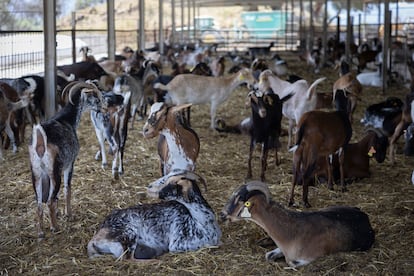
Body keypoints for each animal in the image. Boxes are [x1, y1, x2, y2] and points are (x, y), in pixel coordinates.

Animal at [28, 80, 103, 237]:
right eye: (97, 99)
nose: (102, 109)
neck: (67, 119)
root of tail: (40, 140)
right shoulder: (70, 164)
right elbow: (67, 188)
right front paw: (68, 214)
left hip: (36, 173)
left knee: (39, 203)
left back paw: (41, 233)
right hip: (55, 172)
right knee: (49, 201)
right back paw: (55, 228)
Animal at [87, 170, 222, 260]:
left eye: (170, 184)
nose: (150, 188)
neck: (203, 221)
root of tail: (94, 240)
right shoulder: (178, 244)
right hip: (128, 234)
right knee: (128, 259)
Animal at [220, 181, 376, 268]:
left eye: (240, 200)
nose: (222, 215)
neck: (292, 231)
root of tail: (365, 216)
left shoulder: (307, 258)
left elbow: (290, 263)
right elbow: (269, 256)